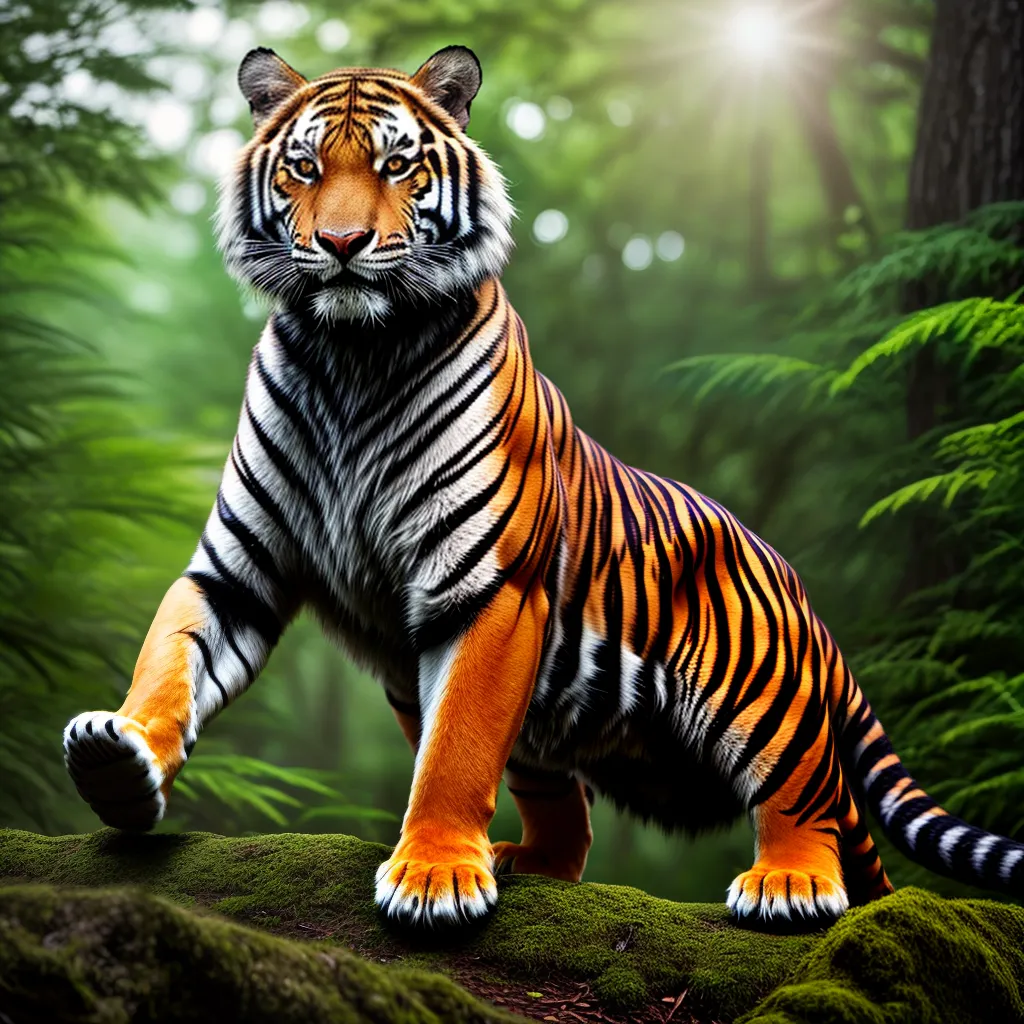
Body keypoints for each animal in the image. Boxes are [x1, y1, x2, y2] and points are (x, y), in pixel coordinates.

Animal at [63, 44, 1024, 930]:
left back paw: (788, 884)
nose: (339, 247)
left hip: (759, 697)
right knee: (578, 829)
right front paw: (117, 762)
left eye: (396, 166)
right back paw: (523, 862)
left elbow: (453, 752)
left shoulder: (485, 586)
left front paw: (434, 875)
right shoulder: (235, 569)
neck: (352, 356)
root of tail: (796, 586)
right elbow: (170, 663)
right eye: (303, 167)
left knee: (814, 797)